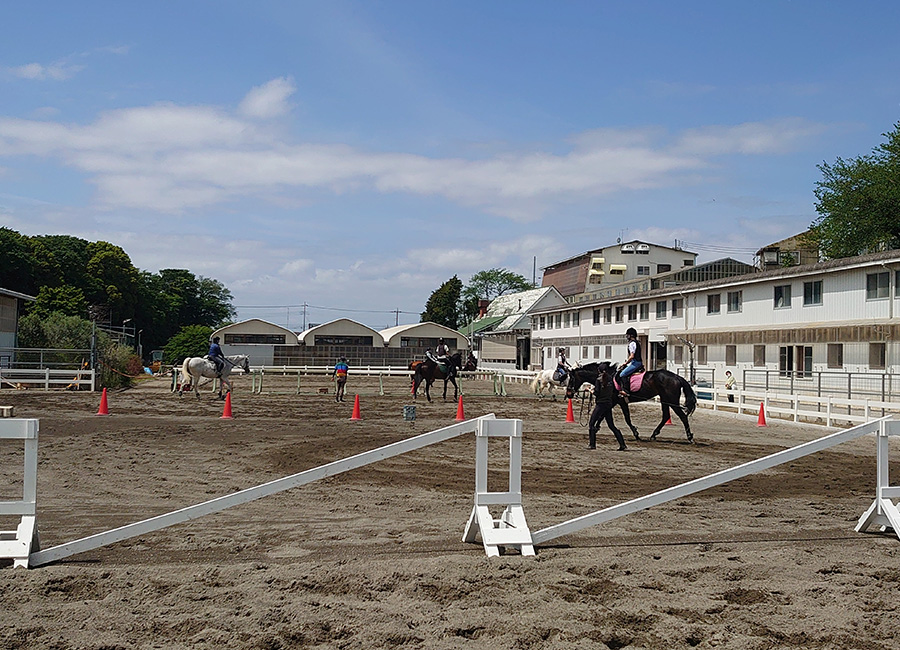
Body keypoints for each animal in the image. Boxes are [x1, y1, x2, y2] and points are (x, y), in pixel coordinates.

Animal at [568, 360, 700, 440]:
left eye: (571, 379)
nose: (569, 393)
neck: (608, 377)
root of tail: (677, 377)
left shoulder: (619, 401)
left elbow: (626, 418)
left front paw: (636, 434)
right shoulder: (614, 402)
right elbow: (602, 416)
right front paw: (596, 428)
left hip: (672, 400)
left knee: (682, 417)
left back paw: (689, 437)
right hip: (665, 400)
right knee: (666, 416)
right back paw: (654, 434)